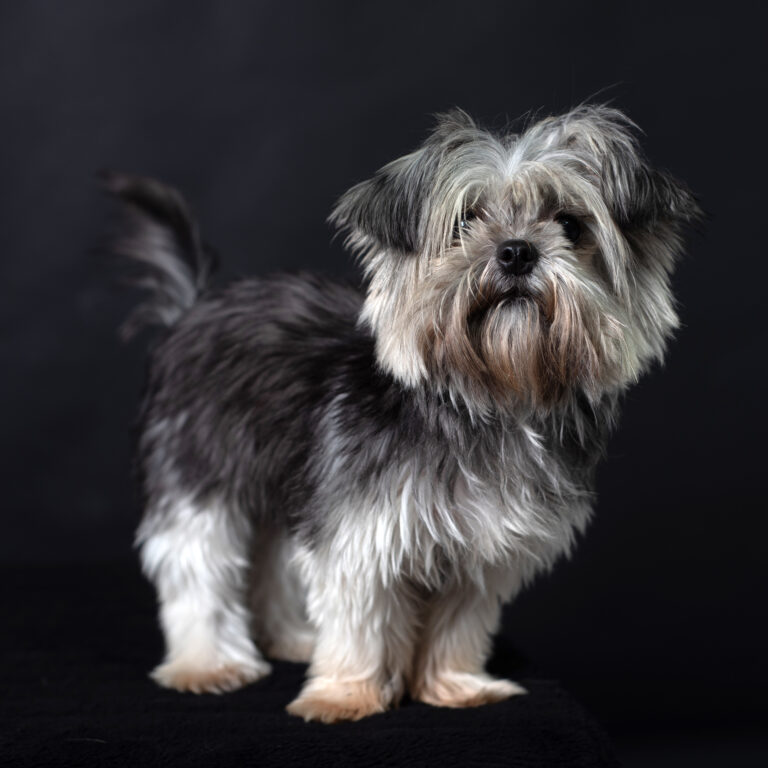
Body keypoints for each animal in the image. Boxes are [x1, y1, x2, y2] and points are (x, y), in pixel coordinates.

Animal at [105, 105, 699, 723]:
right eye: (465, 221)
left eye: (570, 224)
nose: (516, 251)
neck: (490, 400)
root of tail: (195, 307)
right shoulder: (360, 533)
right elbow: (360, 619)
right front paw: (347, 694)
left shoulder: (484, 547)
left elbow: (459, 624)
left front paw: (454, 685)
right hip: (198, 467)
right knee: (197, 565)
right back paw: (208, 664)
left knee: (270, 555)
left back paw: (290, 638)